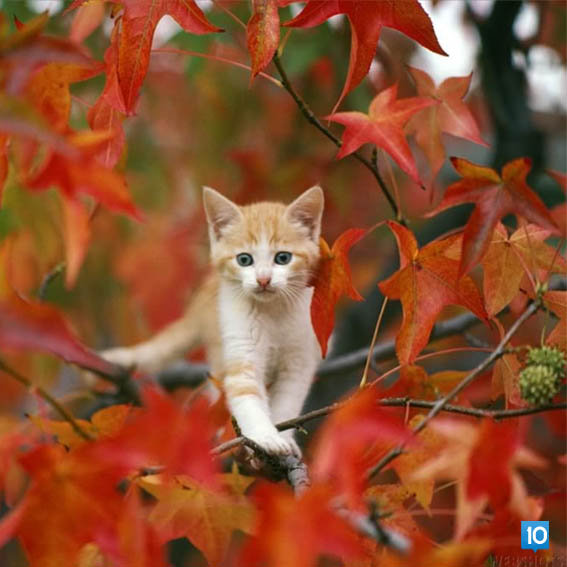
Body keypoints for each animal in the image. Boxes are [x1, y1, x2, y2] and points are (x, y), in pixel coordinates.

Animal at [100, 186, 324, 458]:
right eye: (244, 260)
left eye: (283, 258)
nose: (263, 280)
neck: (273, 311)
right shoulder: (240, 343)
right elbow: (245, 394)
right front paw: (265, 437)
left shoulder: (299, 360)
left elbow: (288, 402)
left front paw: (283, 439)